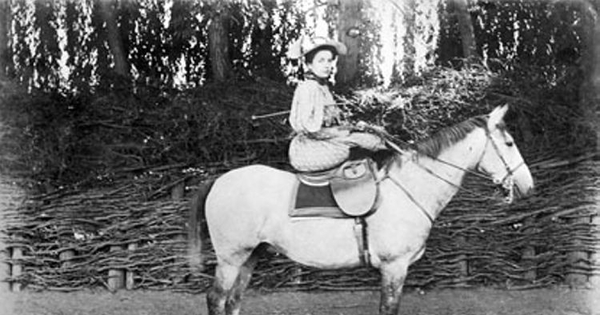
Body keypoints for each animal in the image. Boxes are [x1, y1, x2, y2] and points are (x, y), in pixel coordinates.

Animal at [188, 106, 536, 315]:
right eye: (508, 144)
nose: (528, 184)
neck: (410, 188)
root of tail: (219, 179)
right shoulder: (394, 267)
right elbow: (388, 308)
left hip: (250, 257)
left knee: (233, 302)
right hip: (231, 258)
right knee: (216, 299)